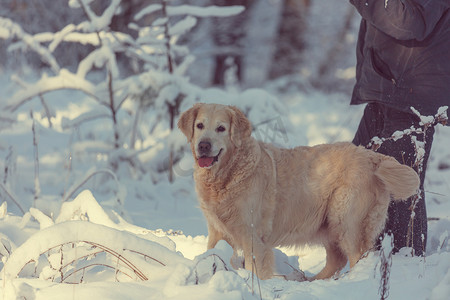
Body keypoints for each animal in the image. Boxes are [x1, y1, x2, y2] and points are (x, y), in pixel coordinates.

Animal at [178, 103, 420, 282]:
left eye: (221, 128)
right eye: (199, 125)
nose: (204, 145)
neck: (227, 174)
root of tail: (372, 156)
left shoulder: (252, 234)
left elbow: (256, 268)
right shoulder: (216, 230)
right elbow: (212, 254)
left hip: (346, 220)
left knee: (359, 257)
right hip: (330, 224)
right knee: (337, 260)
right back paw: (309, 281)